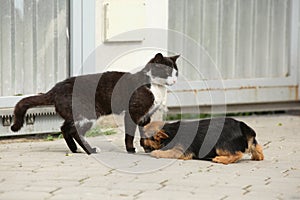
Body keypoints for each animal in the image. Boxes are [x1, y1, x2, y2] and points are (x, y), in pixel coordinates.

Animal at [10, 53, 179, 155]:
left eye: (176, 72)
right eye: (167, 72)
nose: (175, 80)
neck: (155, 87)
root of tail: (56, 88)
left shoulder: (146, 116)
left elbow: (145, 133)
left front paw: (147, 148)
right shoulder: (133, 112)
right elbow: (130, 134)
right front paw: (131, 149)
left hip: (74, 114)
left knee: (64, 128)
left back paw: (74, 149)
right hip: (88, 114)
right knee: (74, 131)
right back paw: (90, 150)